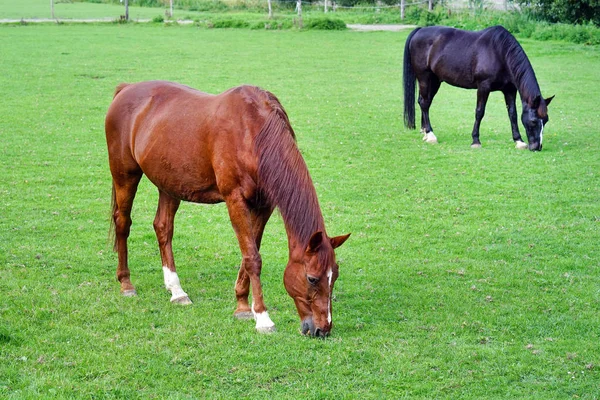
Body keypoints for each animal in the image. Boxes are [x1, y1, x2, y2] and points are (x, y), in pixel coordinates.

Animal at [105, 81, 350, 338]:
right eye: (312, 279)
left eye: (335, 275)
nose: (322, 329)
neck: (253, 134)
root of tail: (126, 88)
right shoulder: (235, 200)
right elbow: (253, 258)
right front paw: (263, 318)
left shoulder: (264, 205)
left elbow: (250, 251)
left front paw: (242, 305)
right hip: (125, 174)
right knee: (123, 222)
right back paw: (126, 283)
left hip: (169, 184)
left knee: (163, 228)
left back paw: (177, 291)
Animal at [404, 25, 552, 150]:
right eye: (533, 121)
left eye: (546, 120)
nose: (537, 147)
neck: (500, 53)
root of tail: (419, 30)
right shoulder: (483, 87)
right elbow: (480, 112)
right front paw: (475, 141)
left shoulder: (509, 90)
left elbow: (513, 114)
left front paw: (519, 141)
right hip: (424, 78)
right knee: (424, 103)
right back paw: (430, 135)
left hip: (435, 81)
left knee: (424, 102)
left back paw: (424, 132)